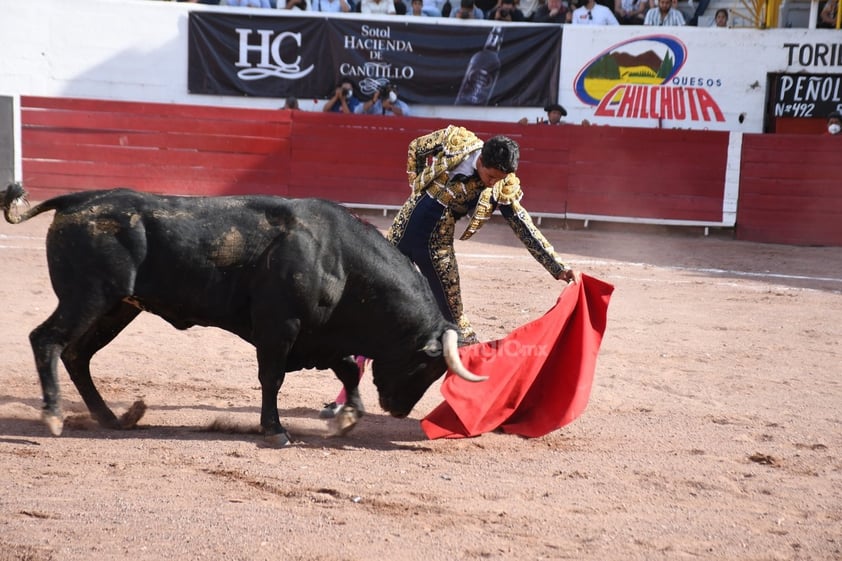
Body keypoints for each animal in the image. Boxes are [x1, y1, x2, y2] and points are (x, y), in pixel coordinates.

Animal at [3, 186, 482, 444]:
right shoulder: (279, 329)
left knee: (77, 355)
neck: (340, 259)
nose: (399, 411)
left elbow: (348, 370)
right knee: (47, 340)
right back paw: (54, 414)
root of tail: (78, 199)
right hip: (87, 298)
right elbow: (272, 377)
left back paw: (111, 418)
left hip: (116, 308)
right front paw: (275, 431)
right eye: (427, 366)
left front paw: (347, 417)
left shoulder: (320, 337)